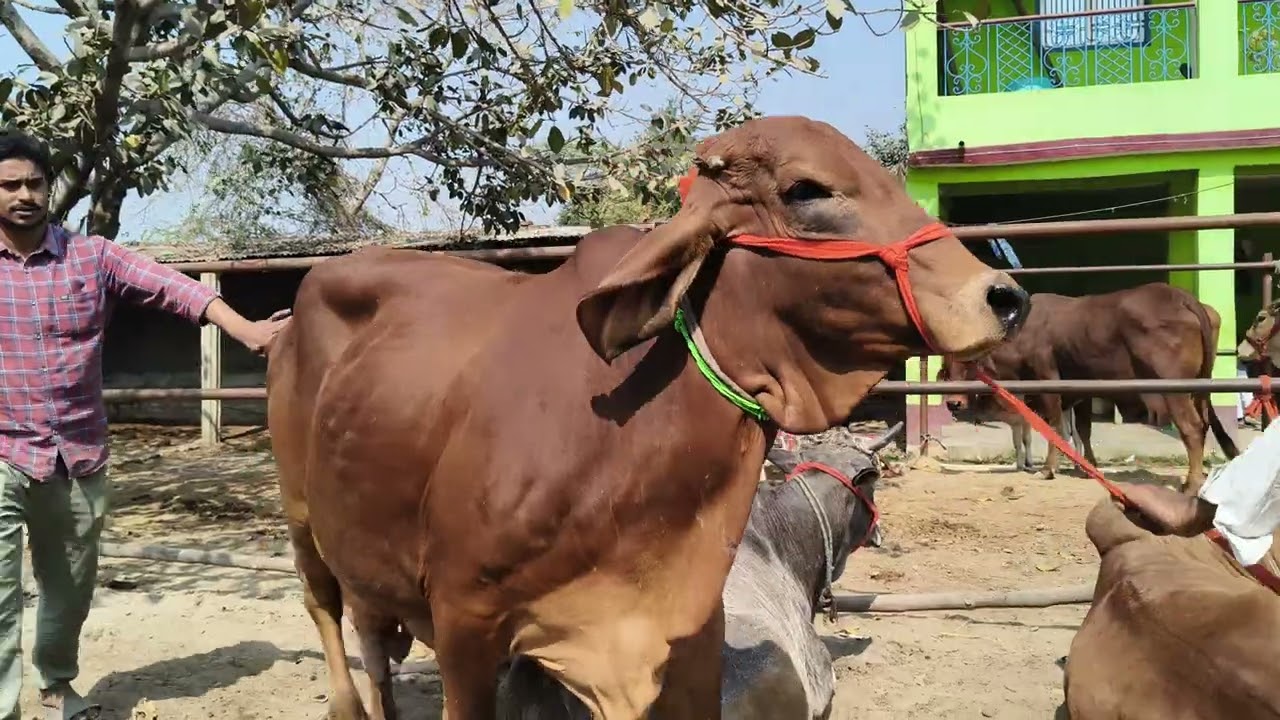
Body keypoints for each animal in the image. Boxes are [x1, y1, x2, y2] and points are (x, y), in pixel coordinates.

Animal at [936, 284, 1238, 493]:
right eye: (945, 367)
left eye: (965, 361)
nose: (953, 403)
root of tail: (1180, 296)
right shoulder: (1082, 392)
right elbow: (1083, 430)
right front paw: (1087, 467)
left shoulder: (1049, 384)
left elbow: (1055, 428)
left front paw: (1048, 469)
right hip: (1198, 389)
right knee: (1204, 424)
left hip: (1174, 389)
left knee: (1192, 428)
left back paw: (1192, 483)